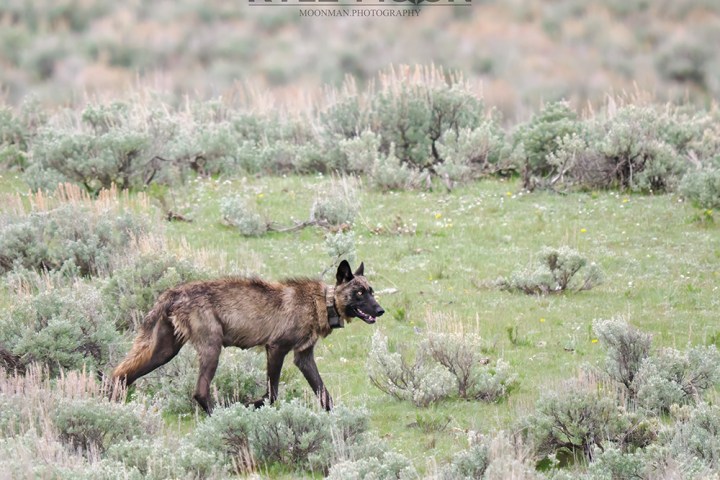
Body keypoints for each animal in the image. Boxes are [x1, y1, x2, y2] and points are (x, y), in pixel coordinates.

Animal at [112, 260, 384, 413]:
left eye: (371, 291)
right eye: (360, 293)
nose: (381, 311)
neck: (321, 302)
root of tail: (174, 292)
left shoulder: (303, 358)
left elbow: (324, 395)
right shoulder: (276, 348)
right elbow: (272, 394)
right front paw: (250, 406)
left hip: (164, 352)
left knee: (122, 375)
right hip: (211, 349)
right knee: (199, 392)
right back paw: (221, 417)